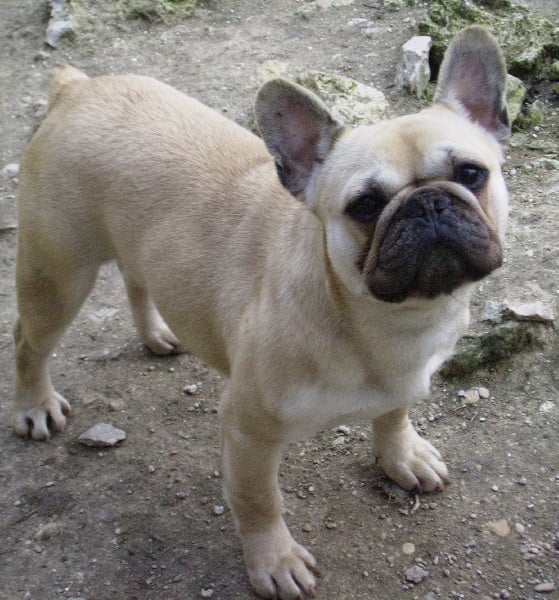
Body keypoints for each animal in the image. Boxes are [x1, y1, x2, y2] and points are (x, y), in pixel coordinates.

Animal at [13, 25, 509, 599]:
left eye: (471, 174)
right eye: (364, 206)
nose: (427, 202)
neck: (387, 322)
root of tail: (75, 90)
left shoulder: (402, 383)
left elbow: (393, 413)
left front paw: (402, 455)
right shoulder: (248, 432)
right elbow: (258, 500)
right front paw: (274, 560)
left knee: (138, 280)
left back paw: (156, 333)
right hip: (58, 277)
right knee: (28, 343)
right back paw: (33, 405)